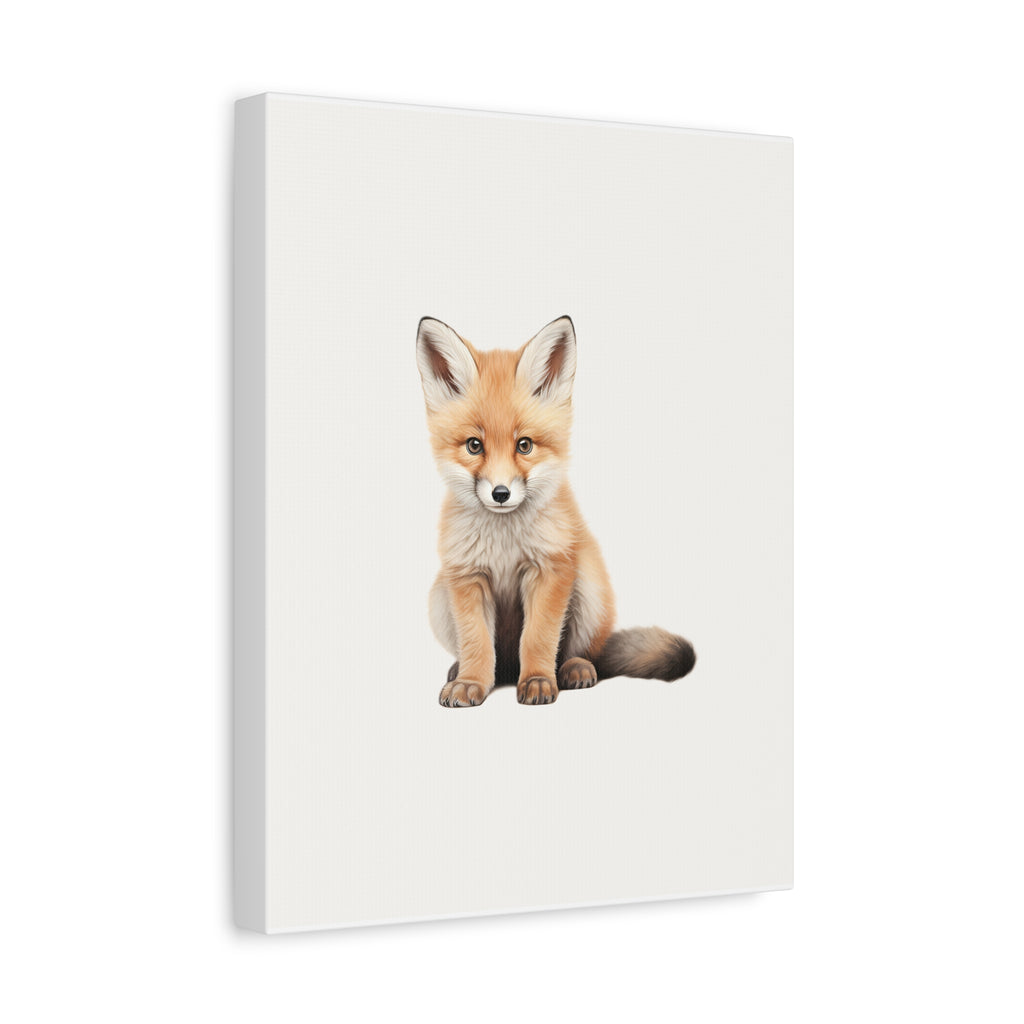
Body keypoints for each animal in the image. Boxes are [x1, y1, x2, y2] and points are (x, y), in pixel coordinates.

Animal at [417, 314, 696, 707]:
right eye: (474, 445)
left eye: (524, 445)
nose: (500, 494)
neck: (505, 544)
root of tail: (508, 669)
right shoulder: (467, 576)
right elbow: (476, 642)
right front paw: (471, 681)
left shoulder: (548, 570)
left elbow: (538, 638)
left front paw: (537, 679)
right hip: (439, 596)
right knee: (491, 657)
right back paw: (464, 670)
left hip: (588, 587)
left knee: (580, 653)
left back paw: (573, 669)